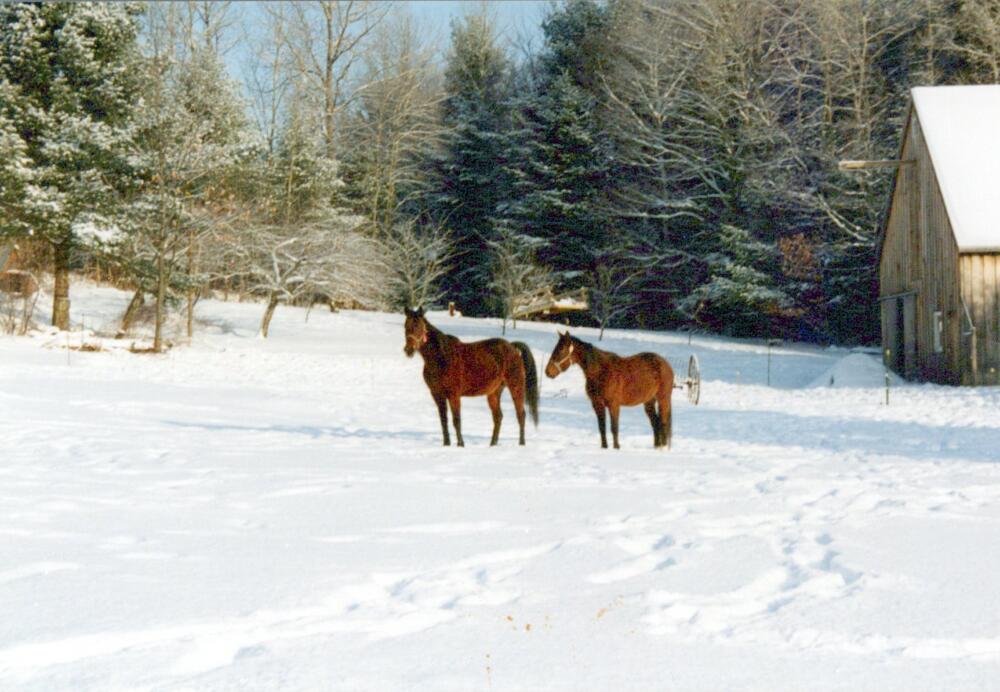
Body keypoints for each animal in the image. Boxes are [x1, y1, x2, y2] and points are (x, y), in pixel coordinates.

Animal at [403, 307, 539, 447]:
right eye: (406, 326)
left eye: (419, 326)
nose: (408, 350)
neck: (441, 357)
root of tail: (512, 347)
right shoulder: (437, 394)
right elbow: (444, 421)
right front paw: (446, 444)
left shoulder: (453, 395)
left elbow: (456, 420)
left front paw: (460, 444)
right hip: (494, 392)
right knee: (498, 417)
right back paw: (492, 444)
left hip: (516, 387)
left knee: (521, 415)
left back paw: (521, 443)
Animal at [544, 331, 674, 450]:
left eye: (561, 350)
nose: (547, 372)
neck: (601, 372)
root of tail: (665, 364)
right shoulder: (597, 404)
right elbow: (602, 427)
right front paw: (604, 447)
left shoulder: (613, 405)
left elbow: (614, 427)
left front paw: (616, 447)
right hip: (649, 401)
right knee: (655, 422)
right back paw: (657, 447)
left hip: (663, 399)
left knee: (663, 422)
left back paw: (663, 447)